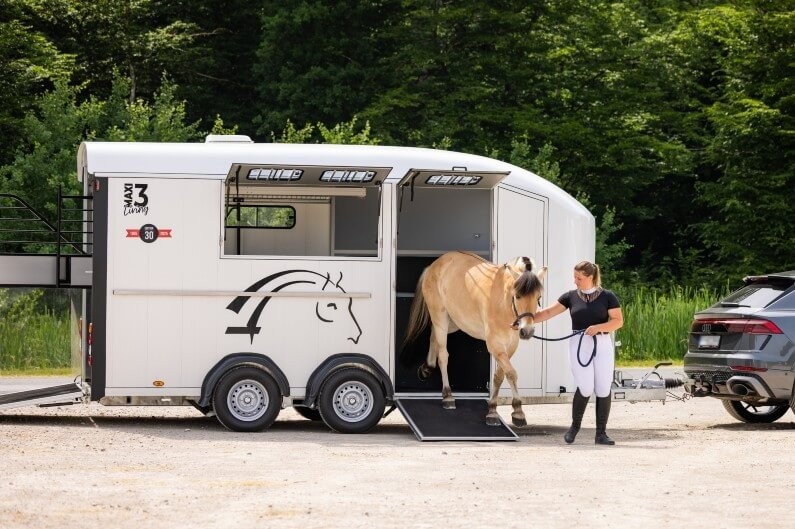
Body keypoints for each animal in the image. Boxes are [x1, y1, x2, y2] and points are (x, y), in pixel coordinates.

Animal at [403, 251, 546, 426]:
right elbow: (511, 373)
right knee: (443, 355)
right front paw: (516, 411)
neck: (503, 303)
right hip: (440, 315)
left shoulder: (510, 346)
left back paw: (427, 367)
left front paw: (496, 410)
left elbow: (500, 375)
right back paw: (448, 396)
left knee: (433, 336)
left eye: (538, 297)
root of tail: (433, 265)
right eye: (517, 296)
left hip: (453, 321)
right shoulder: (495, 345)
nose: (527, 331)